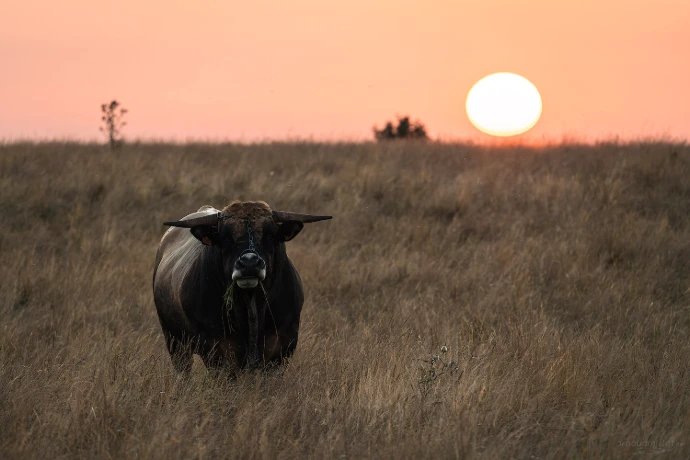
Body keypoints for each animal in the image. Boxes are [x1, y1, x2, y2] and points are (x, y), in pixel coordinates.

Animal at [152, 200, 332, 373]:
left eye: (269, 235)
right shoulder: (216, 350)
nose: (249, 263)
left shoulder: (283, 346)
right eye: (226, 238)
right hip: (175, 342)